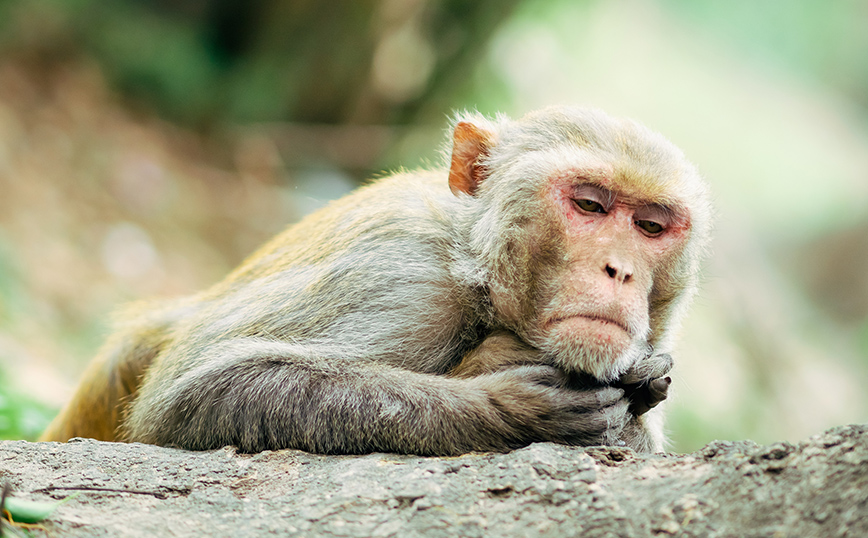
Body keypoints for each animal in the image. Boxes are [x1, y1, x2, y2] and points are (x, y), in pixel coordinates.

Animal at [39, 107, 712, 454]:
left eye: (651, 226)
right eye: (590, 206)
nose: (620, 269)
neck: (473, 268)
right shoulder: (404, 277)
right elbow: (188, 394)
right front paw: (507, 407)